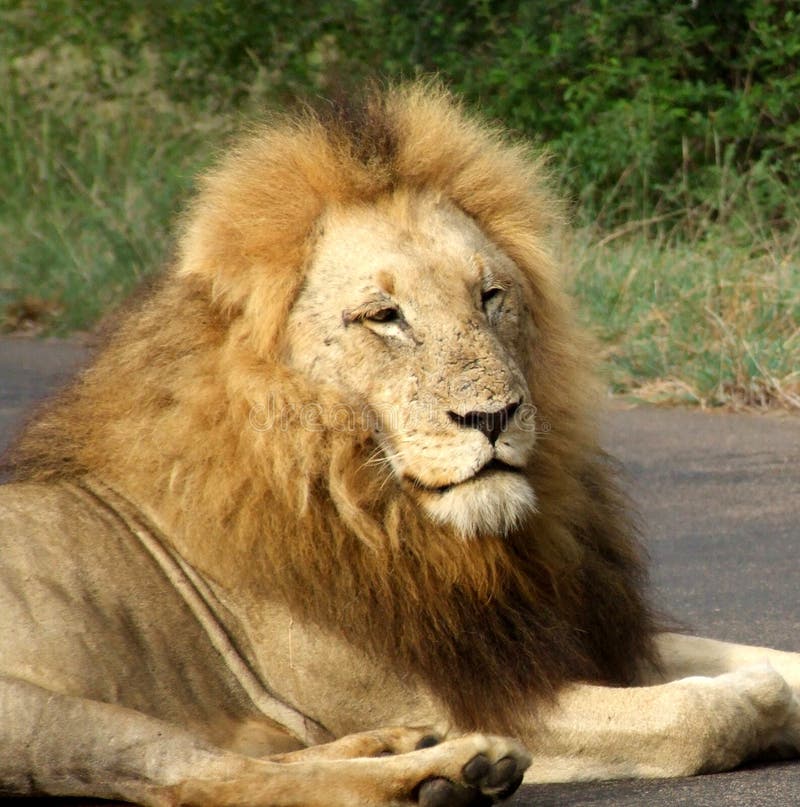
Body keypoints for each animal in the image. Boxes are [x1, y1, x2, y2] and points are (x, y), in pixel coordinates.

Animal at [1, 83, 800, 807]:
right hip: (44, 712)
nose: (494, 415)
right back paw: (453, 771)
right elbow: (698, 709)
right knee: (204, 778)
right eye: (385, 317)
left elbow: (764, 657)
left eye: (490, 296)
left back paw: (404, 747)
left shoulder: (557, 634)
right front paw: (763, 700)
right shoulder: (447, 687)